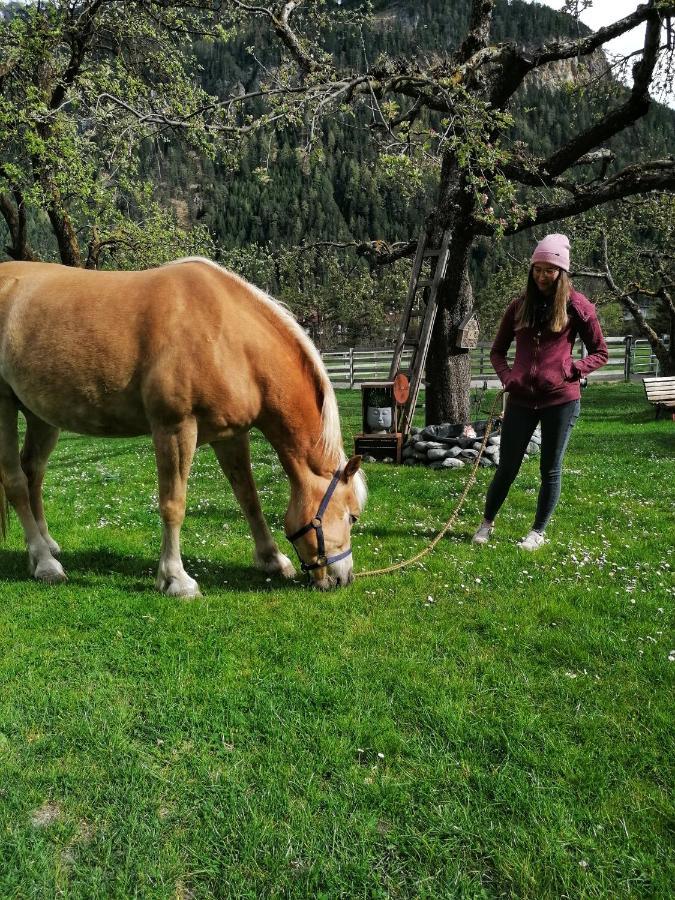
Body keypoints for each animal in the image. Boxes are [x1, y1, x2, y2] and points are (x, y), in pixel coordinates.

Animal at [0, 256, 368, 596]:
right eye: (352, 517)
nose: (343, 579)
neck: (229, 336)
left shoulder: (231, 436)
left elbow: (248, 497)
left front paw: (273, 560)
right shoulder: (175, 429)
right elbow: (173, 504)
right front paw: (176, 579)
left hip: (41, 417)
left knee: (34, 474)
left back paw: (47, 545)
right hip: (4, 407)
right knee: (16, 482)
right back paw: (45, 563)